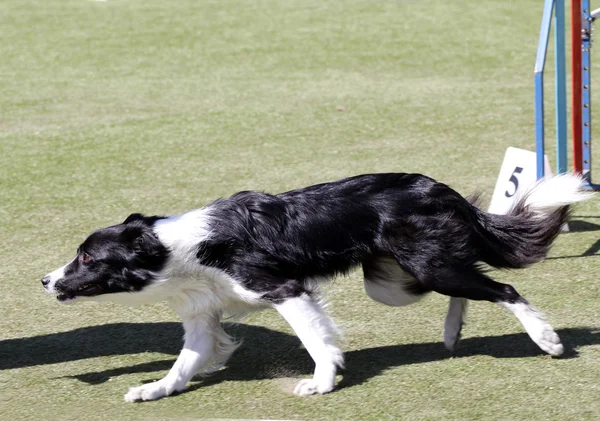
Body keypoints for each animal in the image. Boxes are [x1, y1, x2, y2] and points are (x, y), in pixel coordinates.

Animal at [42, 171, 592, 400]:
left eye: (86, 257)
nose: (45, 279)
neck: (172, 249)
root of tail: (437, 186)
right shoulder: (202, 315)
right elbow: (185, 363)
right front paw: (155, 390)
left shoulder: (284, 289)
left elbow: (315, 341)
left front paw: (322, 383)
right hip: (394, 282)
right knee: (468, 284)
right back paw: (453, 332)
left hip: (425, 266)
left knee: (505, 291)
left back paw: (546, 339)